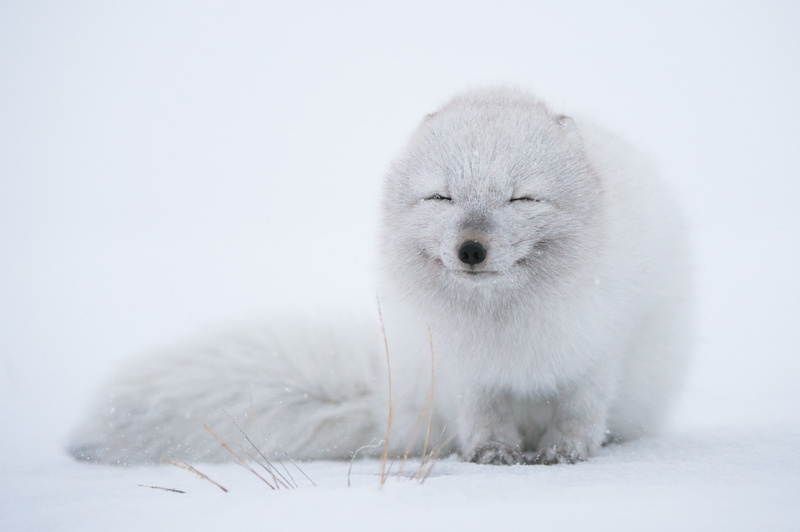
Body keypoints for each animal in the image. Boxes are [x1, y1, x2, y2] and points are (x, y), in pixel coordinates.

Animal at [70, 88, 692, 466]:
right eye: (441, 197)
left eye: (522, 197)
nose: (471, 248)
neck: (502, 325)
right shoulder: (465, 370)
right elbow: (484, 417)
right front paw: (492, 455)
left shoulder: (598, 350)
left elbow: (580, 412)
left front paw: (565, 453)